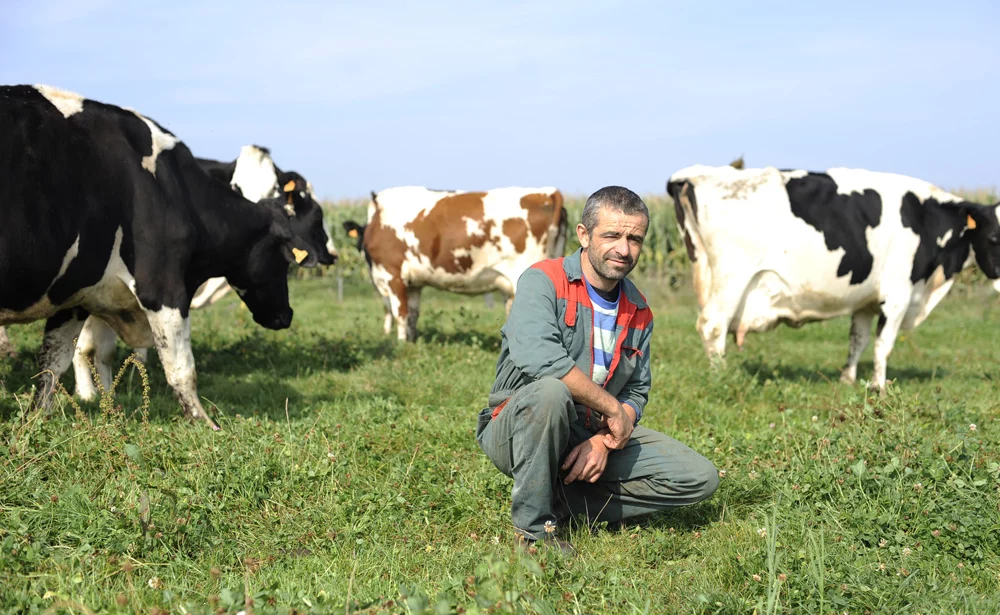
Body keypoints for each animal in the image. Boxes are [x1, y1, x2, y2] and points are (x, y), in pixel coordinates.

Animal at [0, 84, 328, 428]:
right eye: (283, 260)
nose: (286, 316)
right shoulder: (162, 287)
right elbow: (181, 367)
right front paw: (204, 423)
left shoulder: (76, 293)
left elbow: (54, 362)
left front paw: (38, 419)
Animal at [344, 188, 564, 342]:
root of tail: (548, 193)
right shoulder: (414, 283)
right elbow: (413, 315)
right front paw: (411, 342)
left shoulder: (393, 275)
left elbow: (400, 313)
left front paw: (400, 343)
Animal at [668, 165, 1000, 390]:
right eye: (995, 237)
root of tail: (696, 174)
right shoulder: (897, 295)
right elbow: (884, 344)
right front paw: (878, 387)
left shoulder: (866, 301)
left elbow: (858, 341)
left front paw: (848, 379)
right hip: (732, 276)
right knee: (713, 325)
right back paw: (720, 376)